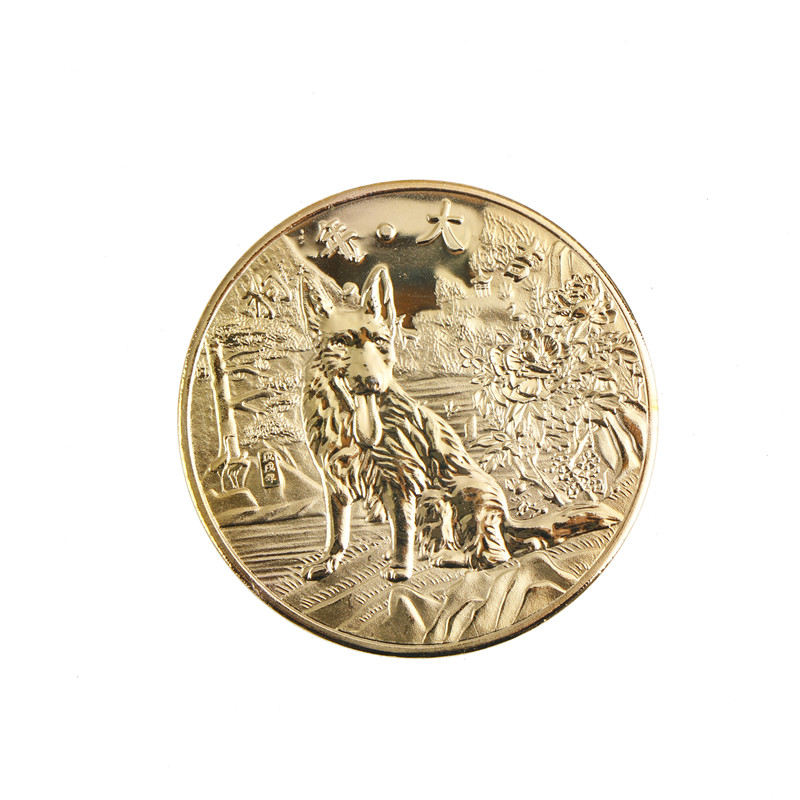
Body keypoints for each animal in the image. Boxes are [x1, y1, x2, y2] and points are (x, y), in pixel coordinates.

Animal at [299, 264, 614, 582]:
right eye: (340, 342)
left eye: (379, 342)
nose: (373, 382)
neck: (346, 422)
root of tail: (505, 515)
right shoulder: (333, 481)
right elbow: (337, 529)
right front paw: (329, 561)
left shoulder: (400, 479)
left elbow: (401, 529)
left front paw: (400, 567)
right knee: (518, 543)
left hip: (448, 495)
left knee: (492, 552)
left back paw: (453, 557)